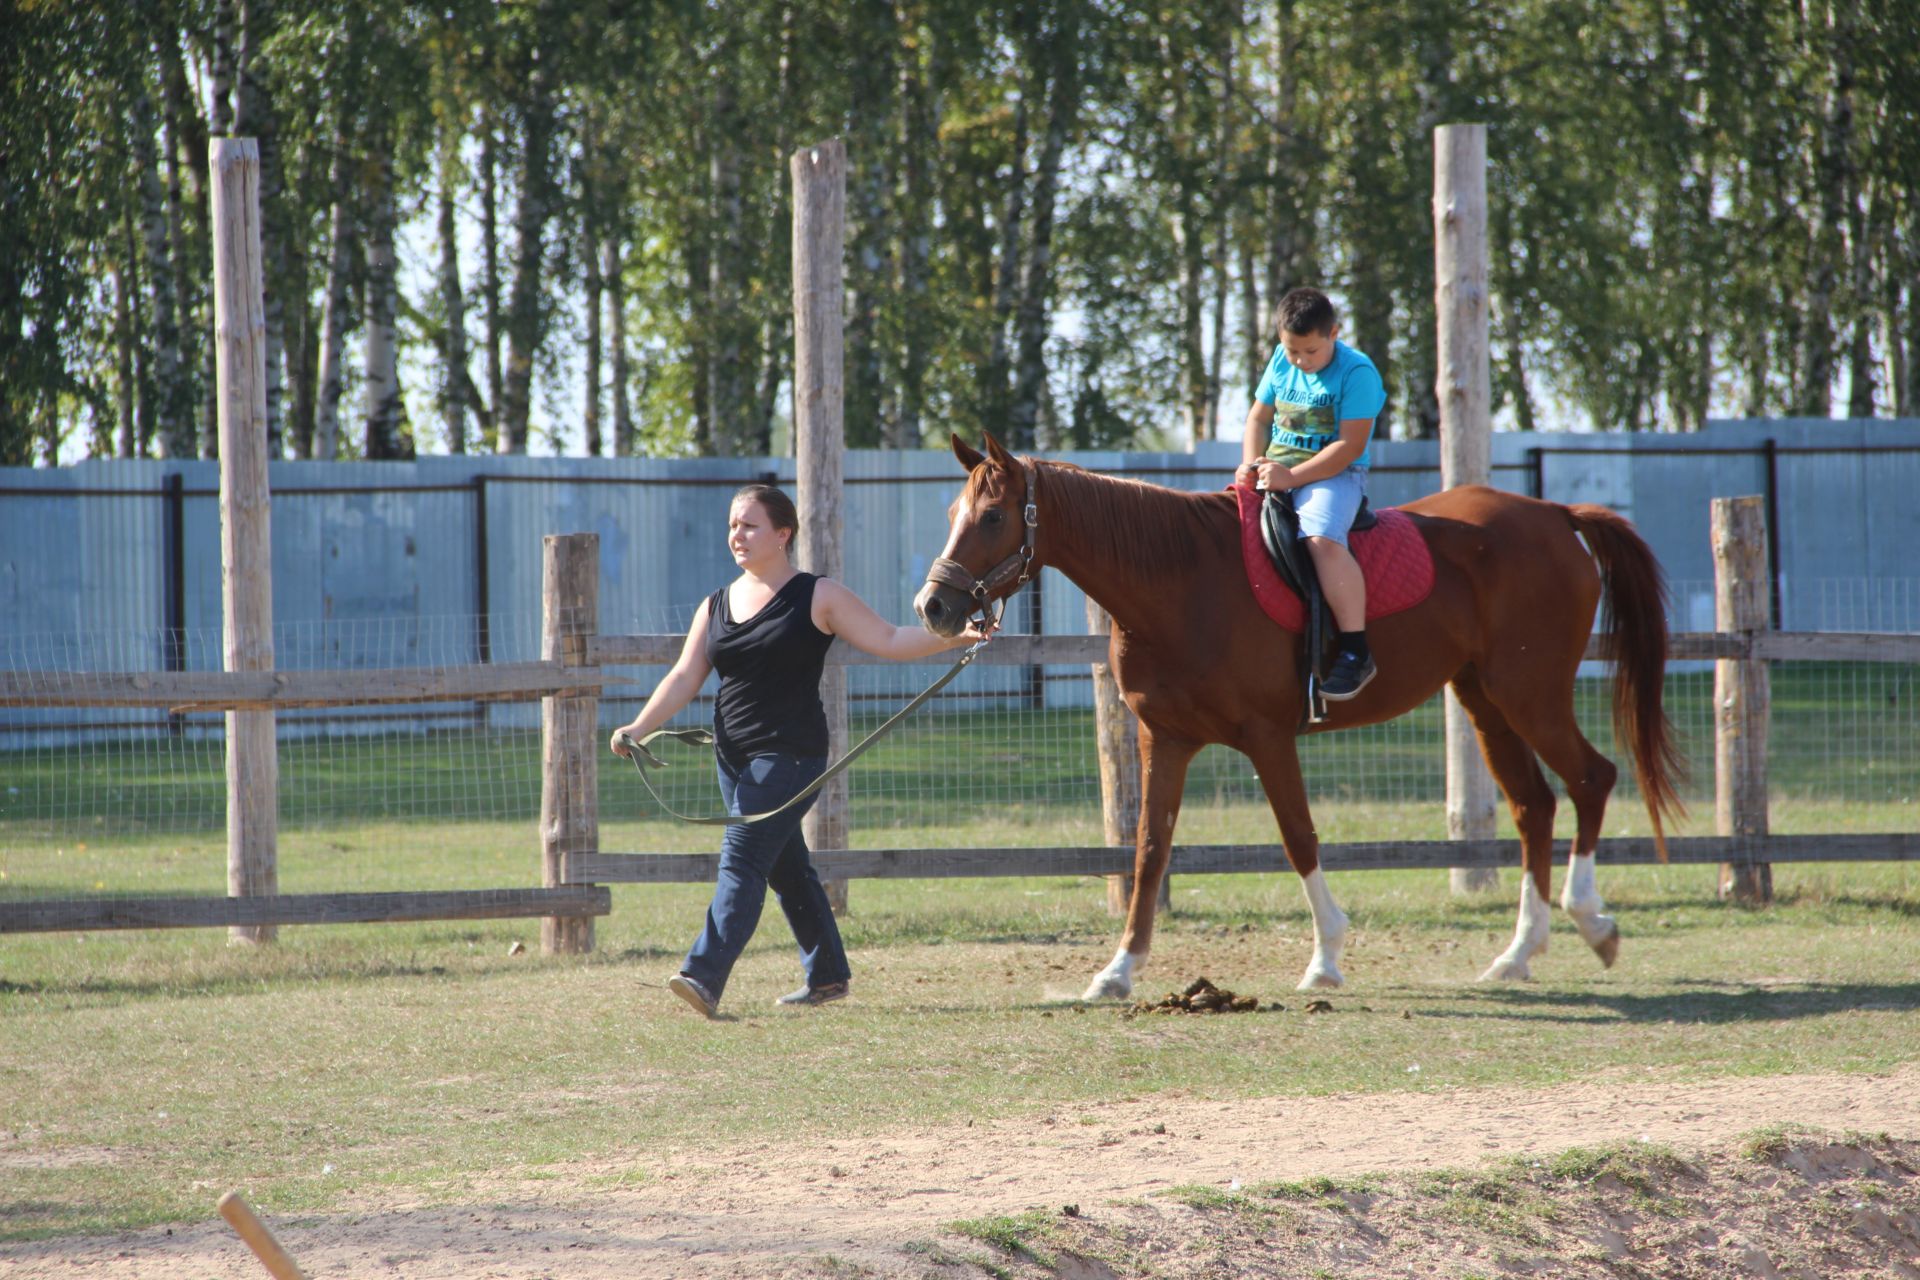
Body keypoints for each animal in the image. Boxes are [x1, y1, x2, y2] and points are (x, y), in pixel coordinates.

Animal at [913, 435, 1681, 997]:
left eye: (991, 517)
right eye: (950, 517)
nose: (934, 607)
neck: (1180, 580)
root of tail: (1554, 515)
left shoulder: (1267, 737)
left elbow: (1297, 837)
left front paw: (1326, 958)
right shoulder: (1165, 740)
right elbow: (1149, 850)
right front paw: (1118, 972)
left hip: (1531, 693)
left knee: (1591, 779)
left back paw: (1592, 920)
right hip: (1485, 700)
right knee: (1534, 807)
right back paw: (1518, 953)